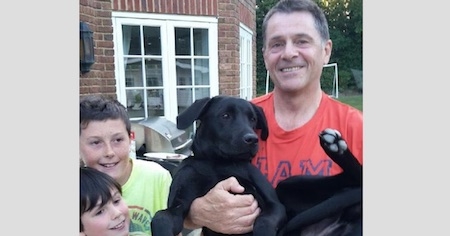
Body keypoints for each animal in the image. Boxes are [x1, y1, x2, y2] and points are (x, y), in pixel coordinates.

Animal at [150, 95, 284, 236]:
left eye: (253, 119)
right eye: (225, 115)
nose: (252, 139)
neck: (218, 162)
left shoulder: (275, 206)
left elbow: (264, 220)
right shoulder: (177, 206)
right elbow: (161, 217)